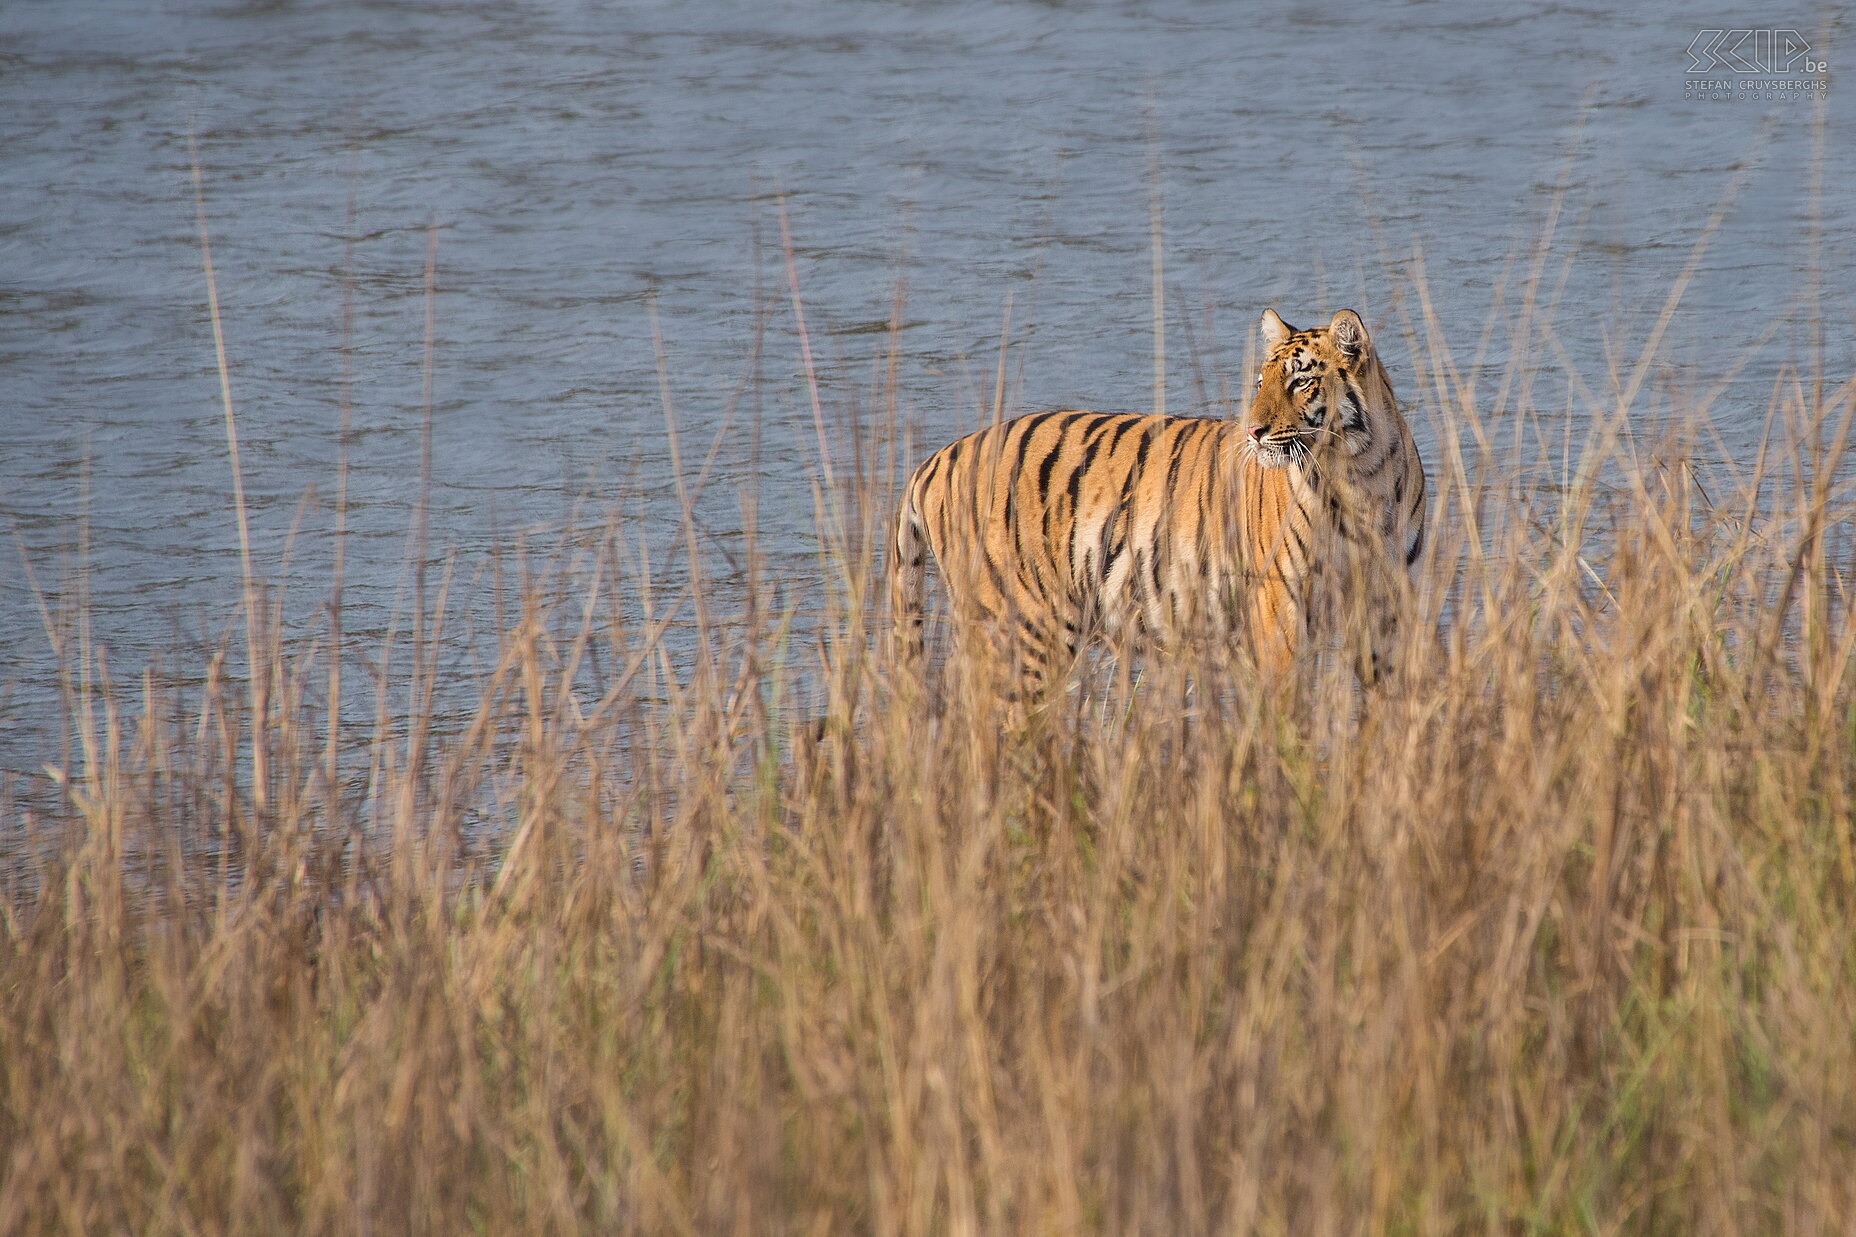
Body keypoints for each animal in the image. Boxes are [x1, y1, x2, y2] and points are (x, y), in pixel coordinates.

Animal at [890, 306, 1425, 694]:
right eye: (1261, 383)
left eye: (1300, 381)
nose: (1253, 430)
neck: (1360, 475)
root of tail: (935, 457)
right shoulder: (1280, 615)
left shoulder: (1388, 607)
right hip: (1023, 630)